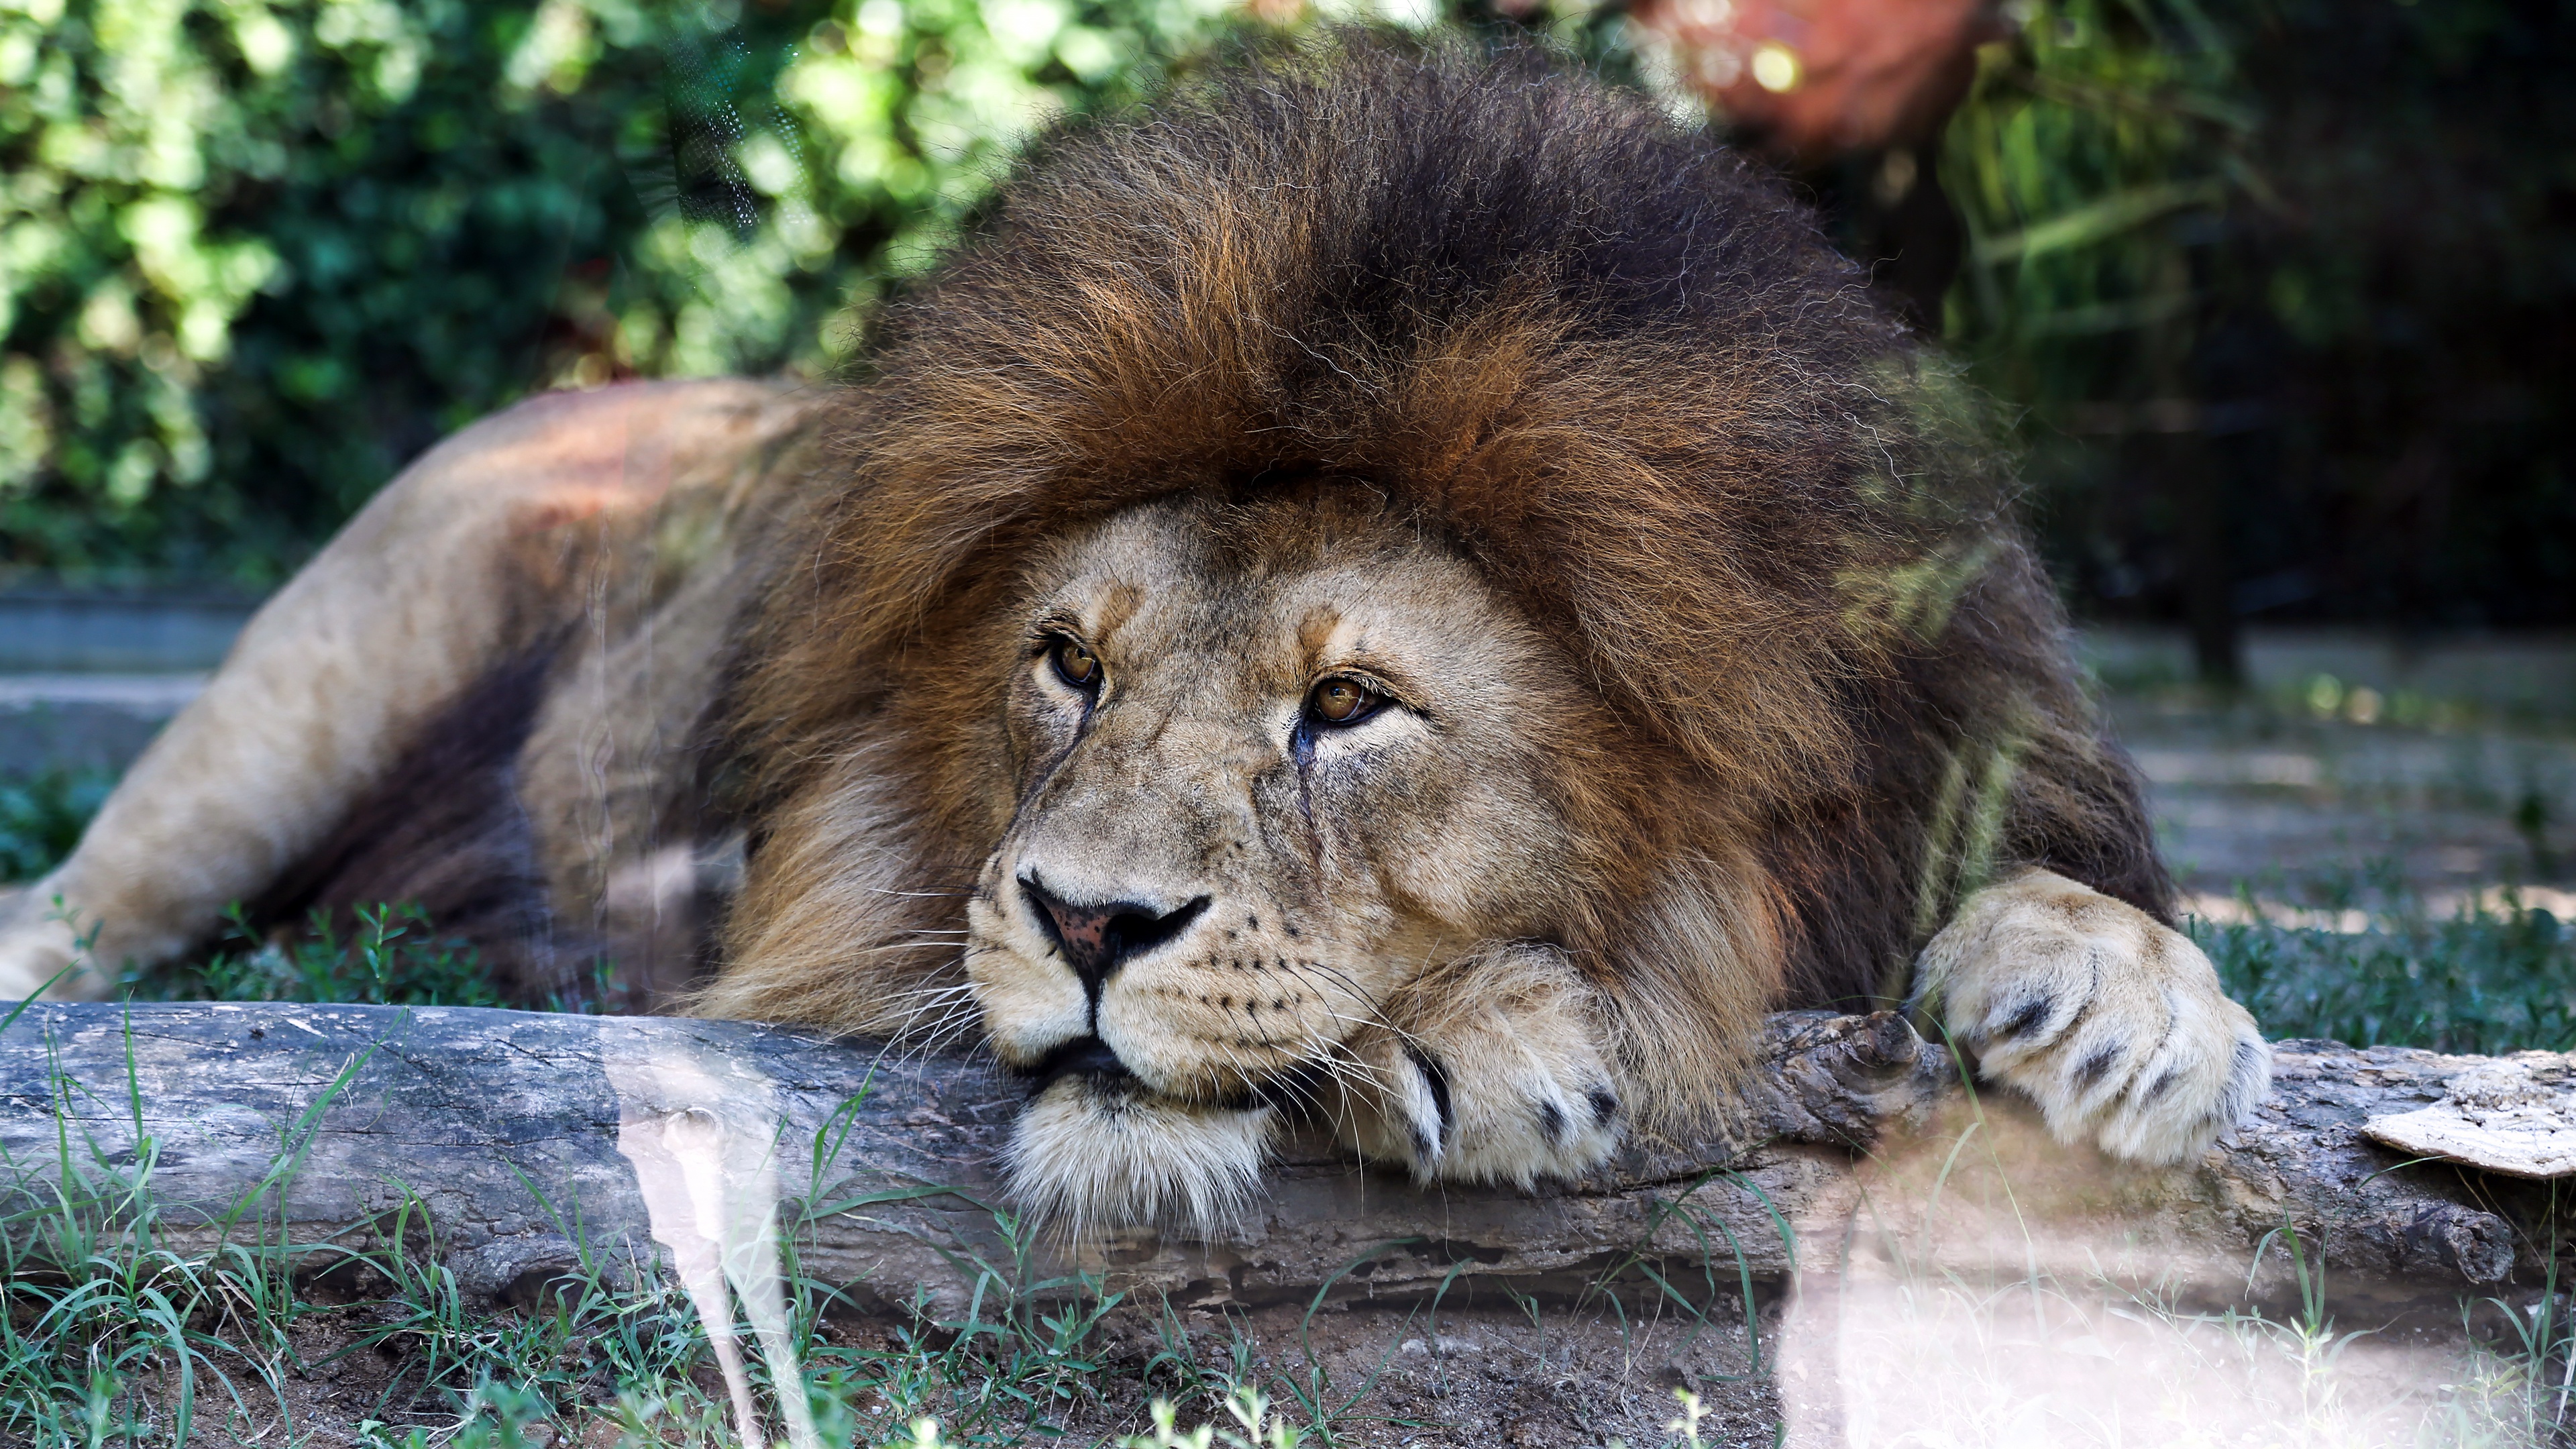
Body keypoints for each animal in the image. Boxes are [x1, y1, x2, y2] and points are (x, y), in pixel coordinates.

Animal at [0, 39, 2256, 1222]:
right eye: (1065, 666)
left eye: (1348, 706)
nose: (1086, 926)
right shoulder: (812, 928)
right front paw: (1478, 1034)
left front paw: (2129, 1009)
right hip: (297, 692)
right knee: (78, 908)